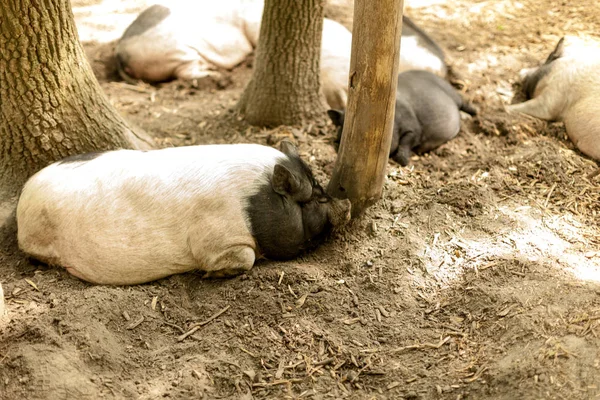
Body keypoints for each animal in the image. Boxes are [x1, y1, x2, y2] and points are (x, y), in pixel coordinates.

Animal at [16, 141, 352, 284]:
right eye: (314, 198)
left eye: (320, 187)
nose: (347, 204)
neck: (254, 203)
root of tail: (24, 194)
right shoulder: (215, 239)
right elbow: (246, 258)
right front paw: (210, 274)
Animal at [326, 70, 476, 166]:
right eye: (341, 126)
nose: (338, 142)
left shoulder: (414, 128)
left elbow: (406, 141)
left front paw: (402, 161)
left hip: (452, 93)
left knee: (463, 102)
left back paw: (474, 113)